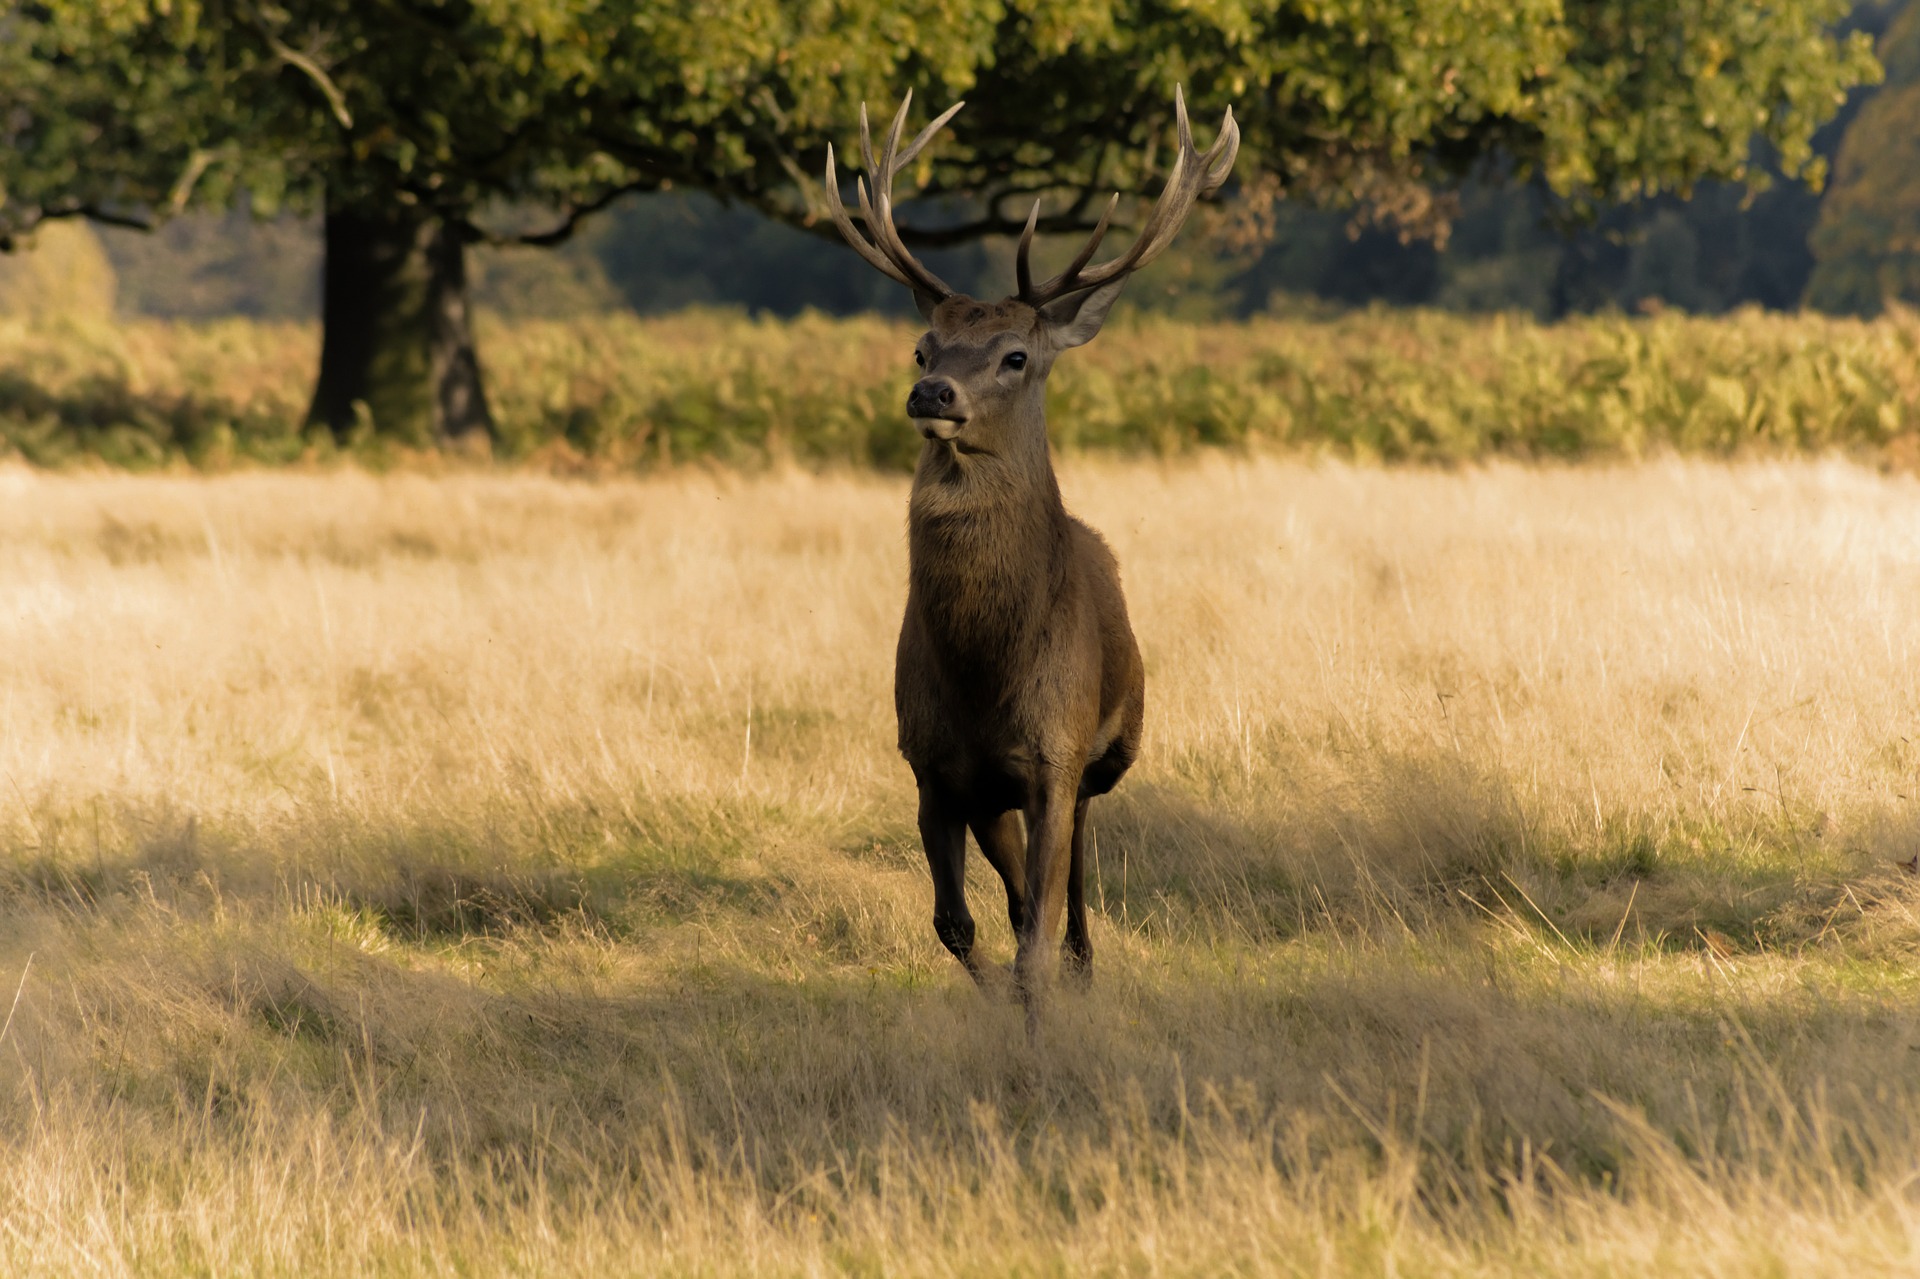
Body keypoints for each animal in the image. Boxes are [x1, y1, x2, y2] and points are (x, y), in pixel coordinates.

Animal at [825, 87, 1244, 1029]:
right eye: (922, 347)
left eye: (1016, 355)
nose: (931, 392)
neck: (987, 673)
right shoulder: (932, 764)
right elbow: (960, 922)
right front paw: (1002, 1006)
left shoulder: (1056, 746)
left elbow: (1037, 926)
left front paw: (1043, 1012)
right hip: (995, 793)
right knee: (1019, 886)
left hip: (1103, 749)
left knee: (1076, 863)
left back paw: (1087, 960)